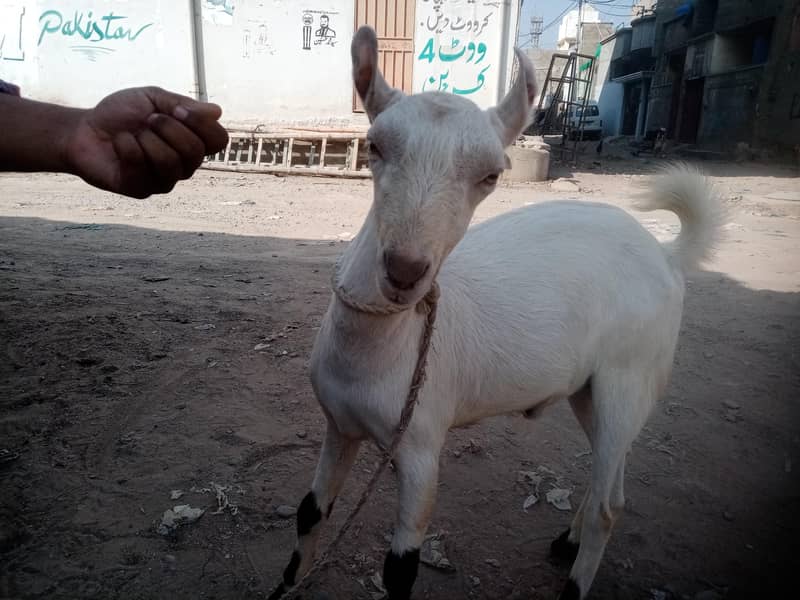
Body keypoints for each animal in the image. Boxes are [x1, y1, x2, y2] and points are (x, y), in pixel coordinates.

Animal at [271, 26, 724, 600]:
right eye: (374, 146)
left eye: (491, 176)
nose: (404, 270)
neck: (388, 345)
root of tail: (666, 254)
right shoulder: (339, 425)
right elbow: (310, 514)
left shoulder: (420, 445)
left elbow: (401, 566)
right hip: (591, 387)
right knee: (610, 472)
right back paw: (567, 541)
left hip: (632, 375)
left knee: (610, 504)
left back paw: (575, 581)